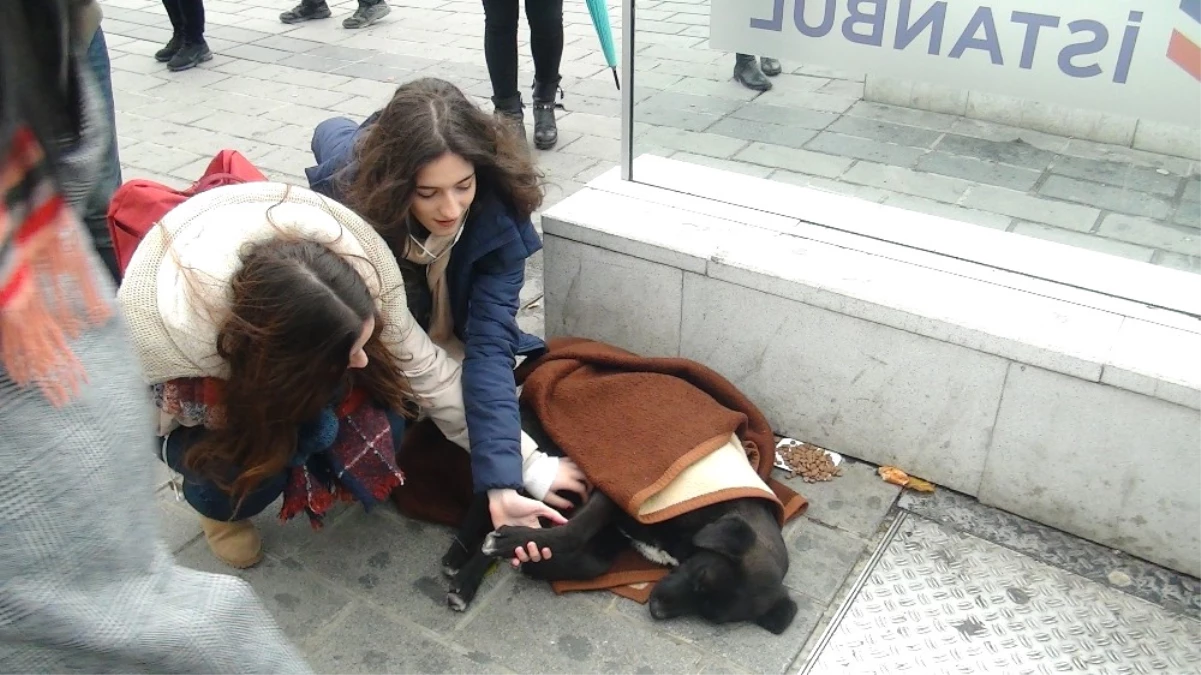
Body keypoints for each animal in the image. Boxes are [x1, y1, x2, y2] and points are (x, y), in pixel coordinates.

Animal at [437, 408, 802, 634]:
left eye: (708, 614)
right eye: (701, 577)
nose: (657, 610)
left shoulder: (616, 533)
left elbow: (593, 564)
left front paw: (536, 564)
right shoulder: (615, 495)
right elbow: (571, 532)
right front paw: (514, 545)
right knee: (488, 502)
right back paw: (465, 567)